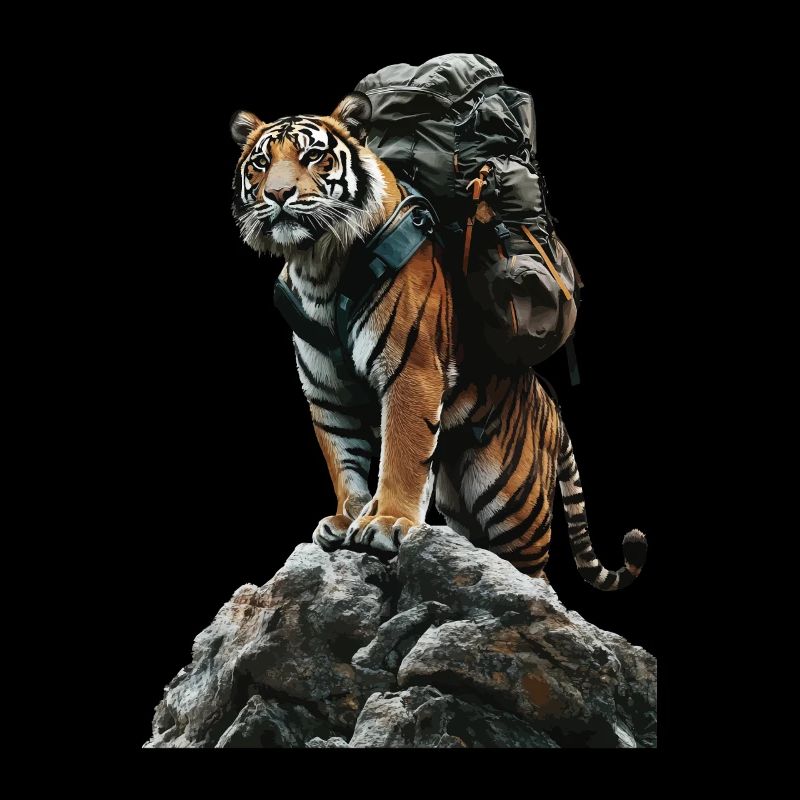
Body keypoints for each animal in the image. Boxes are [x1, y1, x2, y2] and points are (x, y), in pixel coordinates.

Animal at [230, 93, 647, 590]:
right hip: (461, 502)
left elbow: (403, 456)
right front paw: (347, 517)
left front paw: (386, 522)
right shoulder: (327, 393)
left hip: (512, 503)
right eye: (260, 163)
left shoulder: (410, 373)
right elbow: (343, 460)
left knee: (535, 576)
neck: (317, 264)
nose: (277, 195)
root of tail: (553, 412)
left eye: (313, 155)